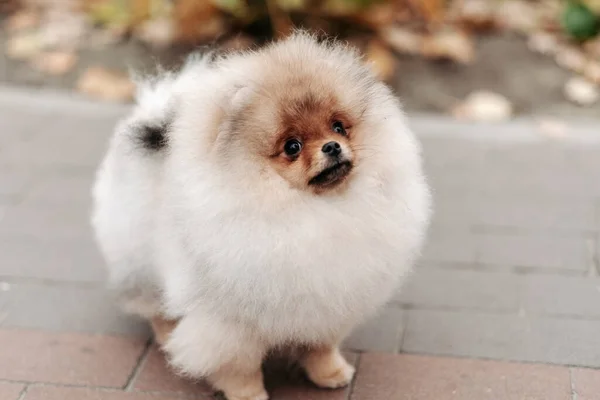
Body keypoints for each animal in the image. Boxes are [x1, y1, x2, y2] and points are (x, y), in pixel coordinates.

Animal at [91, 32, 432, 400]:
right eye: (292, 147)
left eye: (339, 127)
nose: (331, 147)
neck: (313, 209)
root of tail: (153, 120)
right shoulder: (229, 322)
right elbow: (238, 364)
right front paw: (248, 393)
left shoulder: (329, 300)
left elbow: (320, 346)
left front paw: (330, 373)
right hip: (139, 258)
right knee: (155, 306)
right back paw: (169, 336)